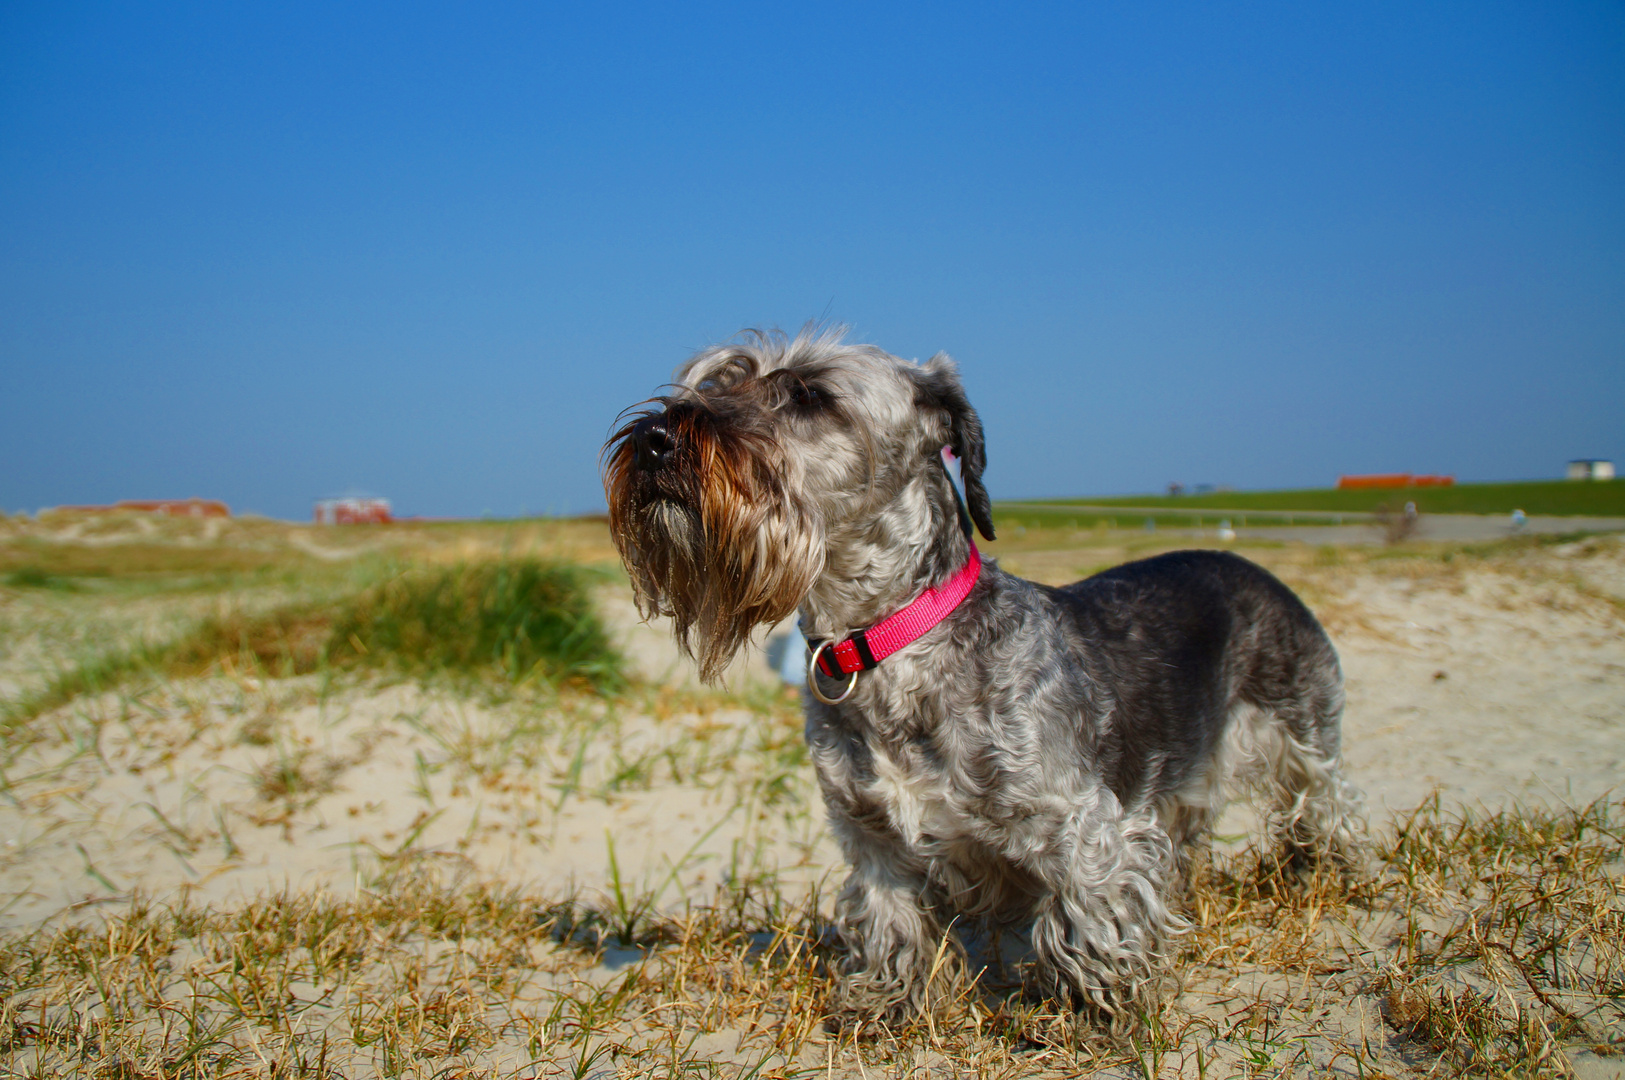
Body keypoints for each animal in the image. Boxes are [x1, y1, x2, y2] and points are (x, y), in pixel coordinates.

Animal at [598, 324, 1358, 1026]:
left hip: (1302, 736)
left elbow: (1087, 921)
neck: (891, 646)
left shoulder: (1082, 830)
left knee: (1326, 804)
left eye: (809, 394)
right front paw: (887, 1006)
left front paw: (1090, 1015)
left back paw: (1321, 874)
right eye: (717, 380)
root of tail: (1256, 570)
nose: (656, 440)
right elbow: (890, 927)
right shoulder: (872, 841)